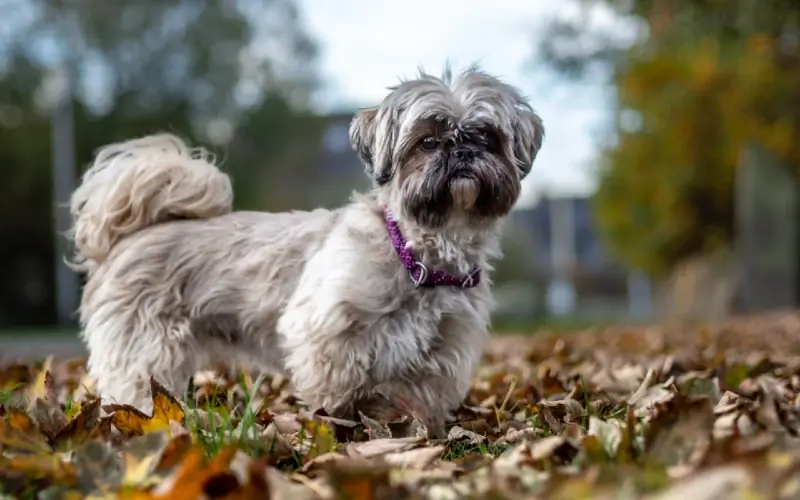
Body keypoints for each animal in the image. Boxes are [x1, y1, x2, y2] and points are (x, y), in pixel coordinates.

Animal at [69, 66, 544, 432]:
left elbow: (415, 402)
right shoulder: (325, 334)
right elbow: (338, 393)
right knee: (135, 389)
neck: (417, 254)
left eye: (487, 137)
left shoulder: (439, 356)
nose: (462, 150)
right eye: (427, 142)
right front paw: (342, 428)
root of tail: (132, 236)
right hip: (145, 351)